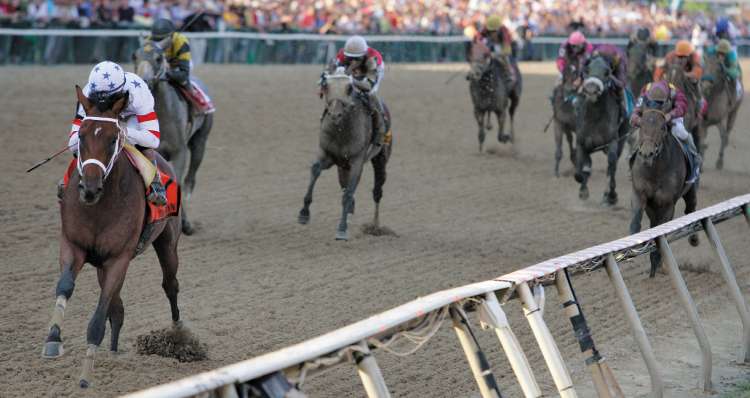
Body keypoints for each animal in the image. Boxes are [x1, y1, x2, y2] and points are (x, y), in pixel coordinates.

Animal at [41, 85, 181, 388]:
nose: (90, 188)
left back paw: (179, 333)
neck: (99, 208)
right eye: (81, 135)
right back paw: (114, 351)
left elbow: (98, 316)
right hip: (101, 265)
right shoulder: (73, 245)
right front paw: (53, 339)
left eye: (113, 138)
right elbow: (65, 286)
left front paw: (85, 376)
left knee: (170, 285)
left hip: (167, 242)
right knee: (117, 309)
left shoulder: (119, 258)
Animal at [133, 38, 212, 235]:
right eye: (134, 56)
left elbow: (179, 183)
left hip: (200, 141)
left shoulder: (179, 152)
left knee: (190, 177)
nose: (143, 81)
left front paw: (186, 224)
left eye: (158, 58)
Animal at [300, 69, 394, 239]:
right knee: (343, 183)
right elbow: (315, 169)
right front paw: (304, 213)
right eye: (325, 86)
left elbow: (349, 193)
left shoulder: (357, 161)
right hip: (342, 165)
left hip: (381, 158)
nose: (335, 115)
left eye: (350, 88)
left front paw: (342, 229)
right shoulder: (327, 154)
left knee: (377, 190)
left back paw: (375, 226)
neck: (341, 131)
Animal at [576, 55, 628, 205]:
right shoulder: (582, 143)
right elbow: (582, 169)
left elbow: (611, 165)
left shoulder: (613, 142)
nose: (591, 90)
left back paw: (608, 195)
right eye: (586, 70)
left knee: (612, 167)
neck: (595, 118)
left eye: (607, 72)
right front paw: (583, 191)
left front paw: (611, 195)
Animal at [632, 108, 704, 276]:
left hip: (690, 190)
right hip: (652, 207)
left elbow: (662, 232)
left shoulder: (667, 203)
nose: (646, 154)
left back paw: (693, 239)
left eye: (662, 127)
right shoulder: (640, 193)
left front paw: (657, 261)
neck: (655, 171)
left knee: (690, 209)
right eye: (640, 125)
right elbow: (636, 217)